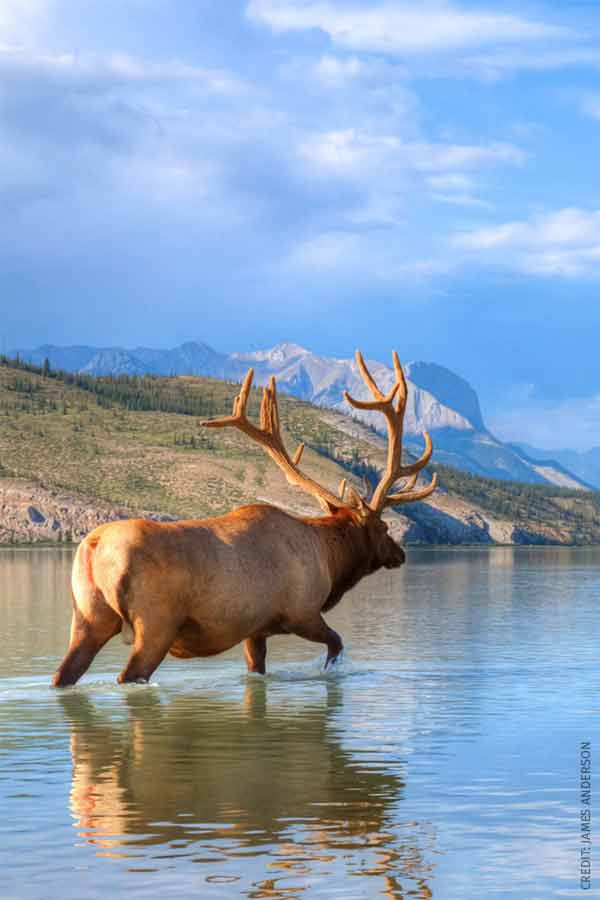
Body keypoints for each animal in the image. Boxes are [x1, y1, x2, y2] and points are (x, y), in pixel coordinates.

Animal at [52, 351, 437, 687]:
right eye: (384, 527)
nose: (401, 554)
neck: (330, 559)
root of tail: (94, 547)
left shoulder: (255, 630)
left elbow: (257, 669)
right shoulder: (301, 611)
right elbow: (336, 644)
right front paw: (329, 672)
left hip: (86, 617)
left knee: (63, 674)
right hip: (155, 624)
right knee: (128, 675)